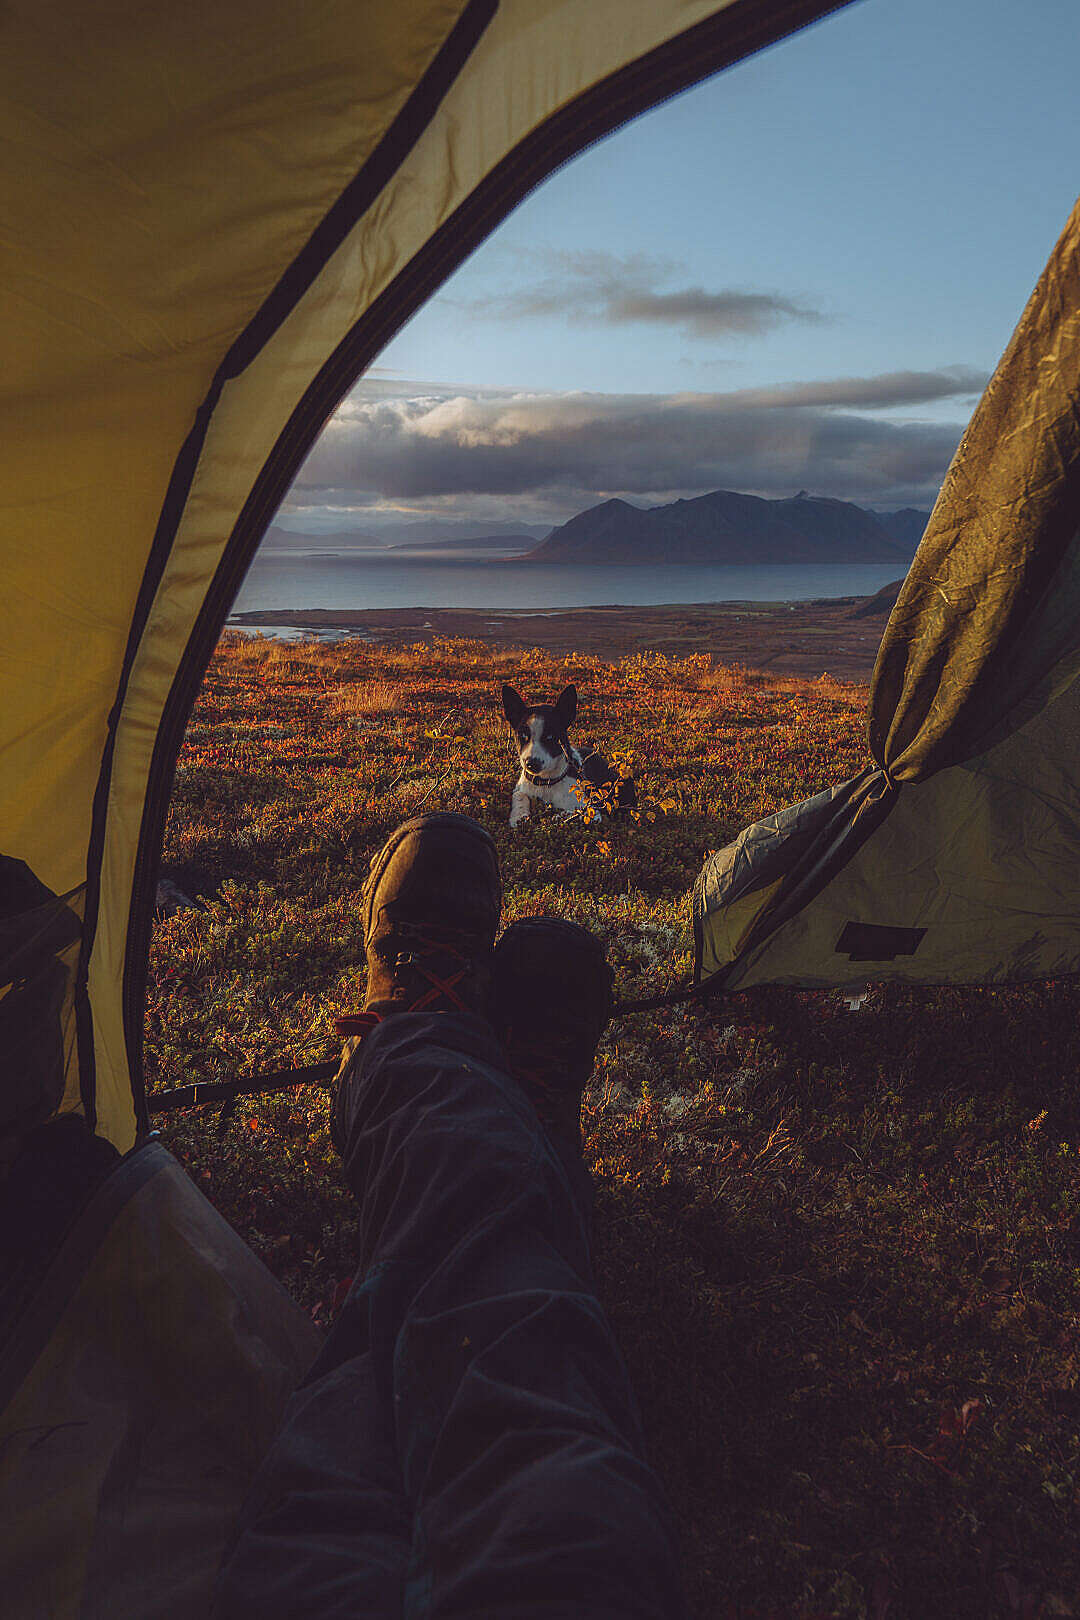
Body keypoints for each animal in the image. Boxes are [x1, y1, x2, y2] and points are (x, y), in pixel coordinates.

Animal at [501, 686, 637, 835]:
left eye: (551, 737)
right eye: (523, 736)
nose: (531, 764)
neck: (546, 782)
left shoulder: (593, 812)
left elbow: (579, 813)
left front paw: (560, 816)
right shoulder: (520, 788)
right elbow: (519, 796)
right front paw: (519, 816)